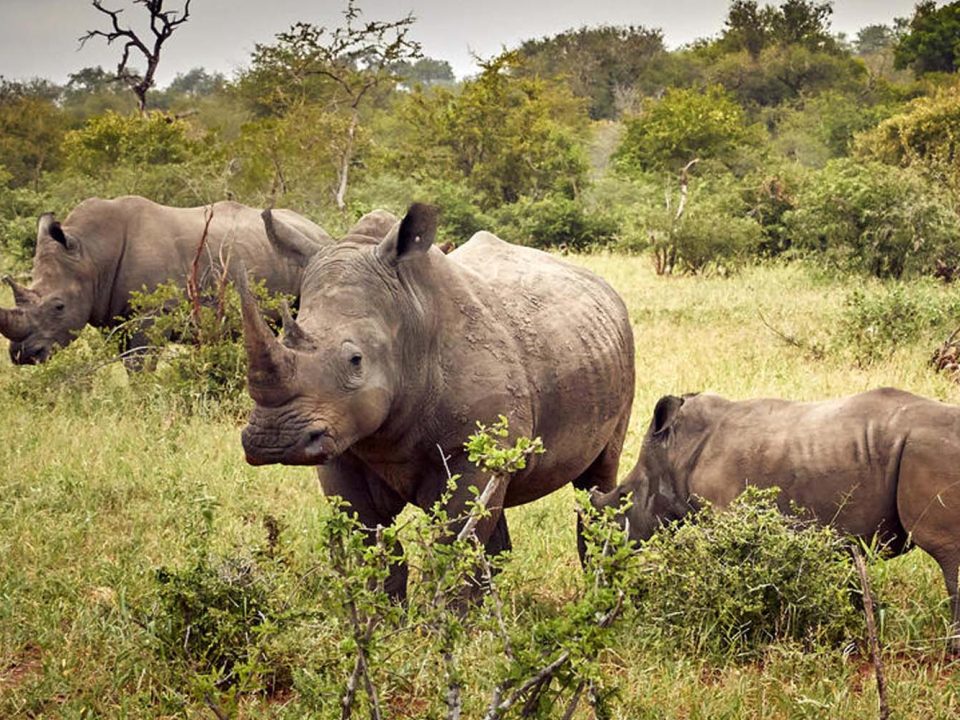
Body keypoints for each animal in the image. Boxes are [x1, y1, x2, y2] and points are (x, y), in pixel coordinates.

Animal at [0, 195, 332, 364]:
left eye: (59, 307)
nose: (23, 356)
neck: (92, 255)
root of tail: (319, 229)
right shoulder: (112, 316)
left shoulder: (151, 315)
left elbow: (138, 362)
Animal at [238, 203, 636, 597]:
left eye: (355, 360)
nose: (273, 440)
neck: (408, 321)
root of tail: (602, 285)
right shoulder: (341, 448)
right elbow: (375, 548)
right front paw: (384, 614)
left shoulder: (469, 449)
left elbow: (451, 550)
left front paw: (444, 614)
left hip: (619, 346)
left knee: (596, 480)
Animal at [590, 388, 960, 654]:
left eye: (623, 497)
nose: (598, 562)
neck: (676, 452)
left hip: (929, 450)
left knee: (947, 554)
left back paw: (950, 652)